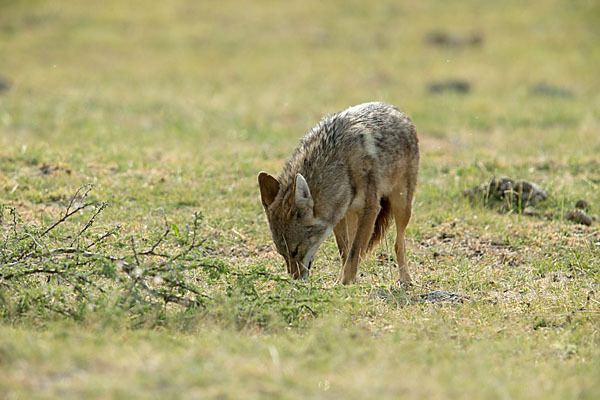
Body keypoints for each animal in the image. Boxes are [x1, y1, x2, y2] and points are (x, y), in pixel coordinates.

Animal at [258, 103, 422, 284]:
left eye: (295, 251)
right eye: (283, 254)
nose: (295, 281)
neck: (341, 165)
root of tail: (396, 109)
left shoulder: (370, 209)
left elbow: (355, 251)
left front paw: (346, 284)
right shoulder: (338, 215)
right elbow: (345, 251)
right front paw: (341, 282)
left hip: (402, 207)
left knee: (398, 243)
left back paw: (406, 279)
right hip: (353, 216)